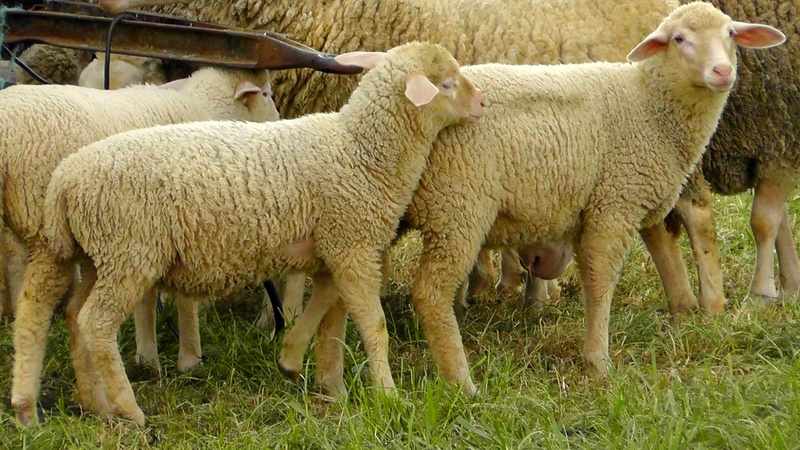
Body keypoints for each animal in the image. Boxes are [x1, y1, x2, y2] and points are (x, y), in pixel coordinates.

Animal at [4, 66, 280, 426]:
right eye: (266, 94)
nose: (280, 119)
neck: (200, 106)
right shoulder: (181, 222)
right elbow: (185, 300)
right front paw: (189, 356)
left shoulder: (155, 231)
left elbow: (149, 296)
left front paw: (148, 355)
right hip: (43, 222)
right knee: (39, 304)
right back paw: (35, 406)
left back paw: (75, 401)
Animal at [36, 42, 486, 426]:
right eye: (447, 83)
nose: (482, 103)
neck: (361, 150)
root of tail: (65, 179)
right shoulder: (353, 246)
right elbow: (373, 324)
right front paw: (388, 395)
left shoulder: (334, 248)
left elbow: (324, 313)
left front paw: (302, 366)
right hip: (129, 253)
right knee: (96, 324)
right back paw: (128, 409)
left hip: (102, 257)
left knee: (75, 315)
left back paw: (94, 402)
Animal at [278, 2, 787, 397]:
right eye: (679, 39)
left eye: (731, 35)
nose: (723, 72)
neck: (646, 104)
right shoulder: (613, 204)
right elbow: (601, 282)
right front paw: (598, 360)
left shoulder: (595, 208)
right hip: (458, 208)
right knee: (429, 293)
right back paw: (459, 381)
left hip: (370, 209)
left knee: (343, 289)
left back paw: (320, 375)